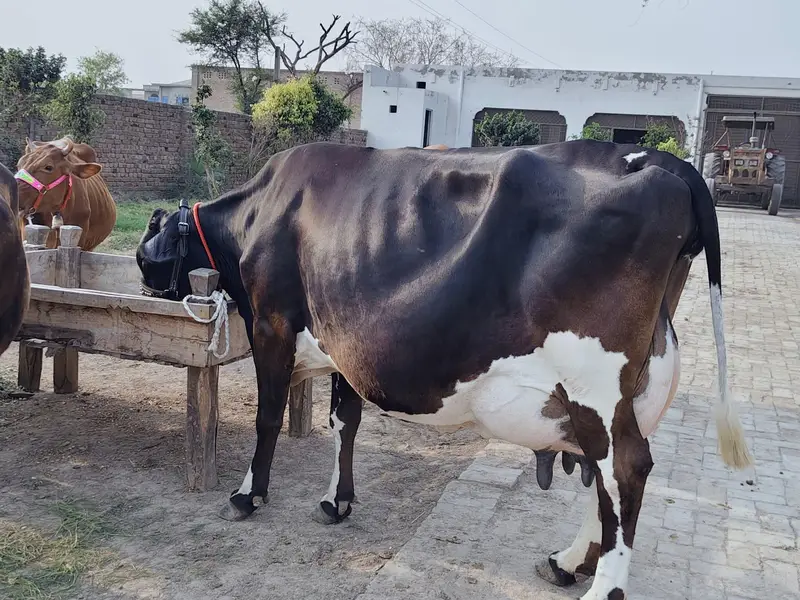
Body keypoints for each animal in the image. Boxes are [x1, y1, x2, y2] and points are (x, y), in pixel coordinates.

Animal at [137, 140, 752, 600]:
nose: (145, 284)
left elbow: (267, 418)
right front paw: (337, 501)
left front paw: (248, 495)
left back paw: (603, 588)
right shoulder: (344, 345)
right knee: (608, 479)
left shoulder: (271, 323)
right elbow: (344, 422)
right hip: (632, 389)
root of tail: (657, 161)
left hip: (593, 383)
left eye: (148, 252)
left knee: (625, 469)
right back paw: (566, 561)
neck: (260, 211)